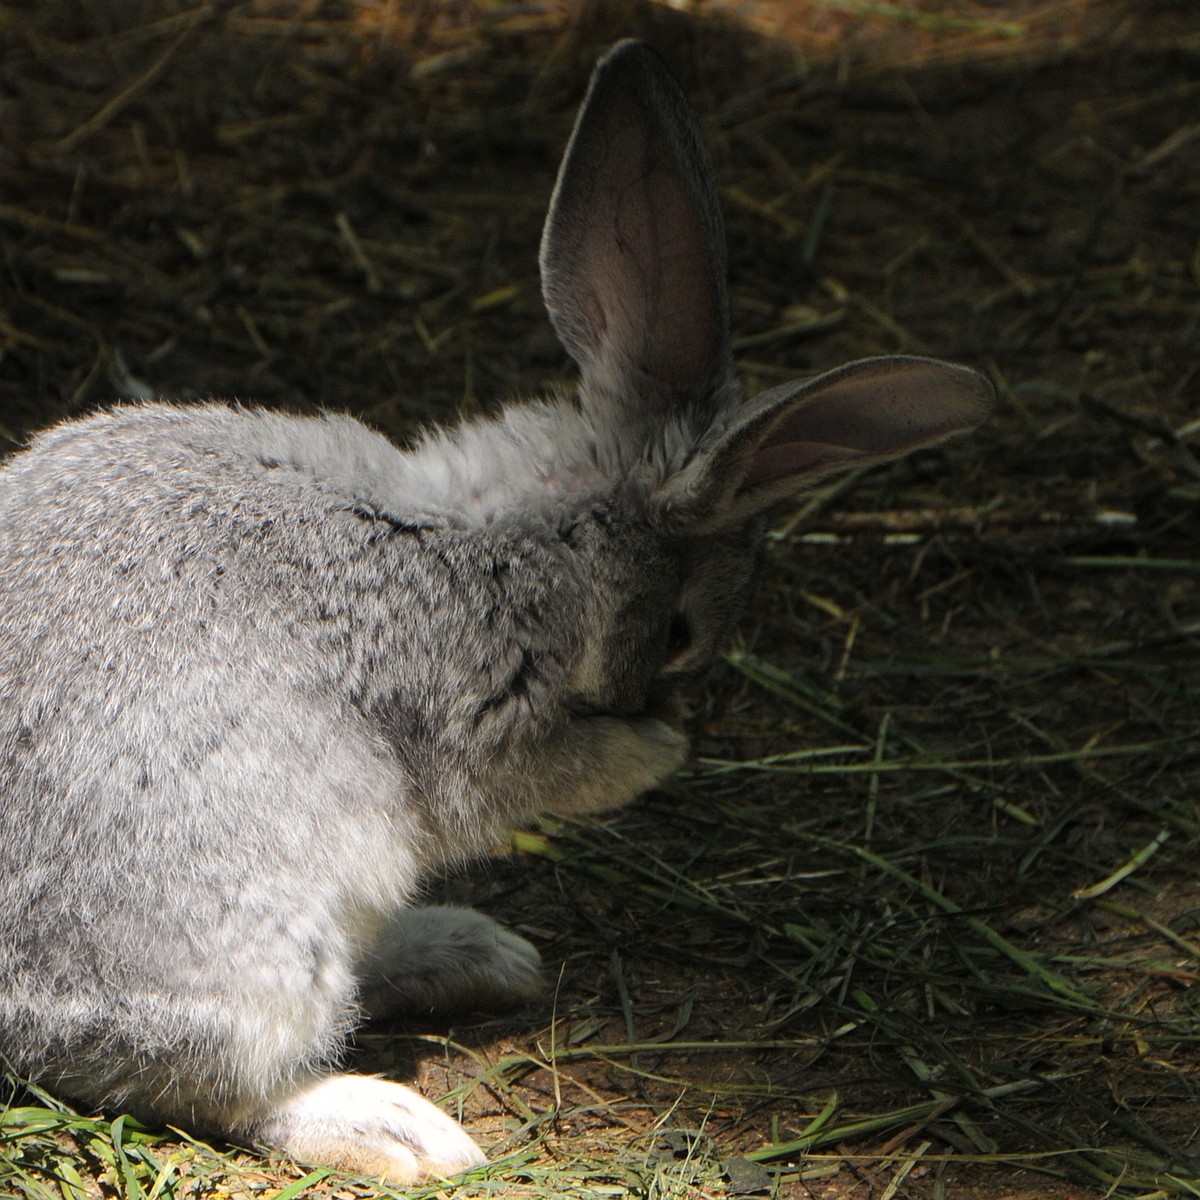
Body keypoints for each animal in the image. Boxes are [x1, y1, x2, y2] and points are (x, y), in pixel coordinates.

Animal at [0, 35, 993, 1180]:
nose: (670, 704)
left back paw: (474, 952)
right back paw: (402, 1127)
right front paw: (654, 753)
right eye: (685, 630)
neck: (516, 533)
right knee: (218, 1087)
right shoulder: (487, 718)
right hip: (252, 930)